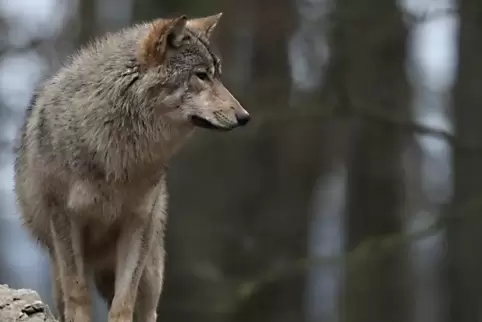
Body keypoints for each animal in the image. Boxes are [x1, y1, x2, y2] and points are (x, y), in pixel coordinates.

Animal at [13, 13, 250, 322]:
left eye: (217, 74)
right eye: (202, 75)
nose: (245, 116)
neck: (119, 152)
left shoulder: (137, 222)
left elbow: (124, 301)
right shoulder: (65, 219)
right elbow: (78, 294)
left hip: (151, 270)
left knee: (147, 309)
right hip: (61, 266)